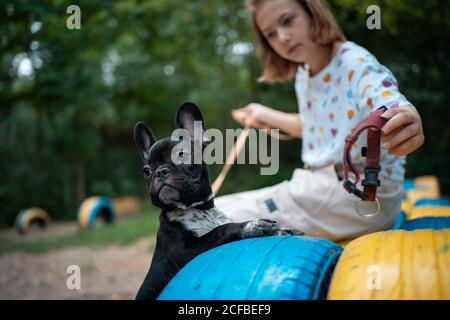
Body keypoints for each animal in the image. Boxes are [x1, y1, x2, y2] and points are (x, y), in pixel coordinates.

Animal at [133, 101, 302, 298]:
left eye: (181, 155)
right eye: (146, 171)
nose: (160, 171)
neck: (196, 207)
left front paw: (282, 230)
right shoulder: (185, 251)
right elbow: (220, 230)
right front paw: (252, 225)